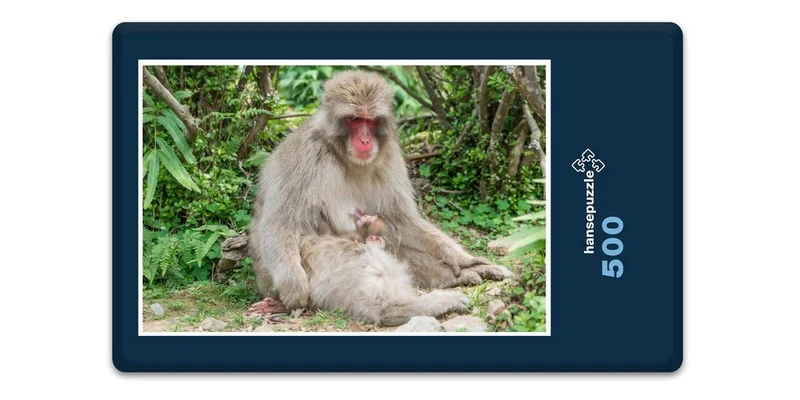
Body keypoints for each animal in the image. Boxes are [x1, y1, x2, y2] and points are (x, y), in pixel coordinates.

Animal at [249, 69, 513, 310]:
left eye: (371, 120)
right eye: (355, 119)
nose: (365, 140)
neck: (345, 157)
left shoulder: (390, 156)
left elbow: (402, 218)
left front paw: (464, 260)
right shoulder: (304, 156)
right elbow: (280, 223)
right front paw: (294, 285)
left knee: (392, 231)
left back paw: (458, 276)